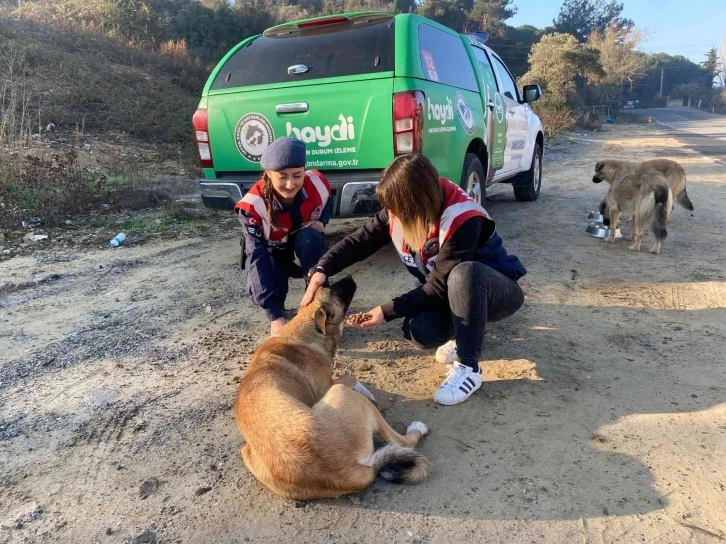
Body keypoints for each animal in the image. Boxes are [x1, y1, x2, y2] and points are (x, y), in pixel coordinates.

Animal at [236, 278, 436, 500]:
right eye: (335, 291)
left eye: (326, 285)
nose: (350, 277)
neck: (306, 332)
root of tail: (354, 473)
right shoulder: (330, 386)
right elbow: (351, 377)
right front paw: (368, 391)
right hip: (343, 394)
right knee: (402, 442)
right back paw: (417, 428)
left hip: (246, 453)